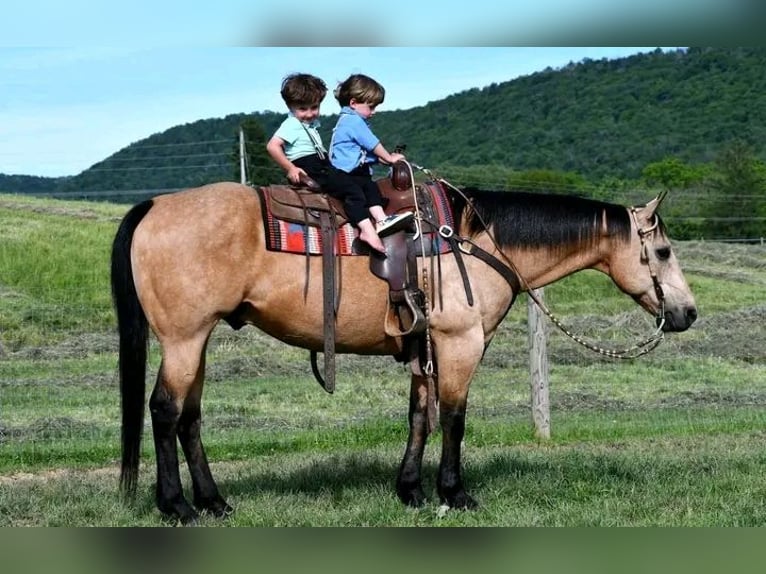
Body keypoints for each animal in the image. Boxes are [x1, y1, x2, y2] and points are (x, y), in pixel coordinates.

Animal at [111, 172, 700, 528]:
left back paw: (213, 501)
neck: (478, 241)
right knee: (164, 411)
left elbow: (420, 415)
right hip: (185, 338)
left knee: (189, 417)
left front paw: (411, 490)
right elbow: (455, 418)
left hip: (198, 339)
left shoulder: (425, 346)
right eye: (663, 251)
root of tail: (156, 206)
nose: (688, 313)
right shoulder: (460, 342)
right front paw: (454, 493)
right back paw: (178, 506)